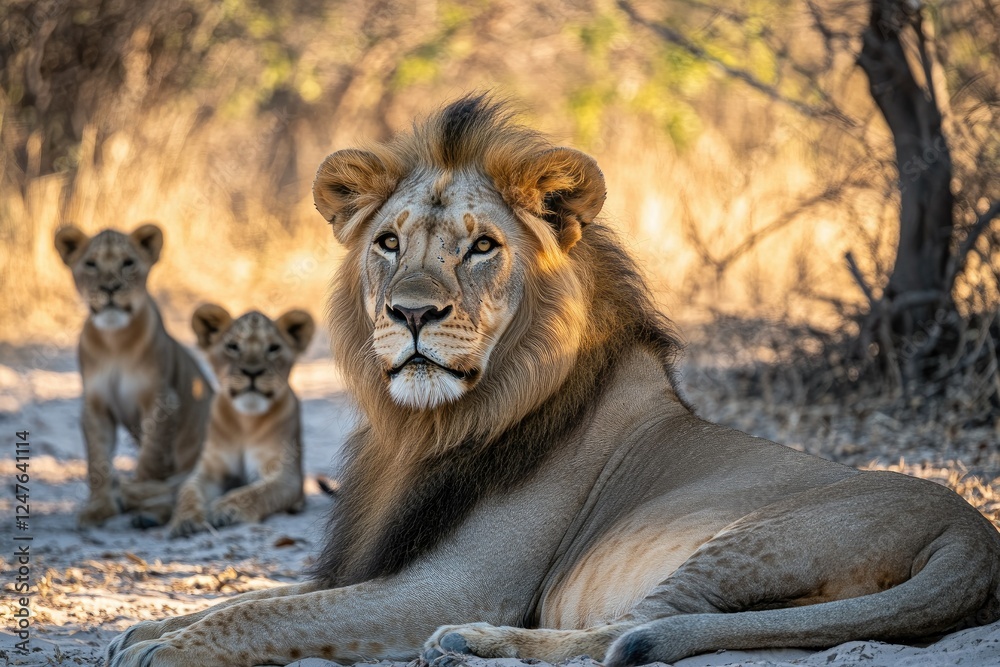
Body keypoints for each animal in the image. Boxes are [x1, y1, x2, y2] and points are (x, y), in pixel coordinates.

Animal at [55, 223, 213, 527]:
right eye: (90, 264)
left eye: (128, 263)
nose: (110, 288)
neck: (114, 341)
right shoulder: (95, 405)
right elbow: (97, 460)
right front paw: (100, 508)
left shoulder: (163, 402)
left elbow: (151, 459)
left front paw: (141, 496)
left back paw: (147, 510)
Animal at [166, 304, 315, 538]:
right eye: (233, 346)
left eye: (273, 348)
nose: (252, 372)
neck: (246, 422)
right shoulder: (209, 470)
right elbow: (188, 490)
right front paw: (185, 520)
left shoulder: (286, 475)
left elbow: (258, 492)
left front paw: (225, 509)